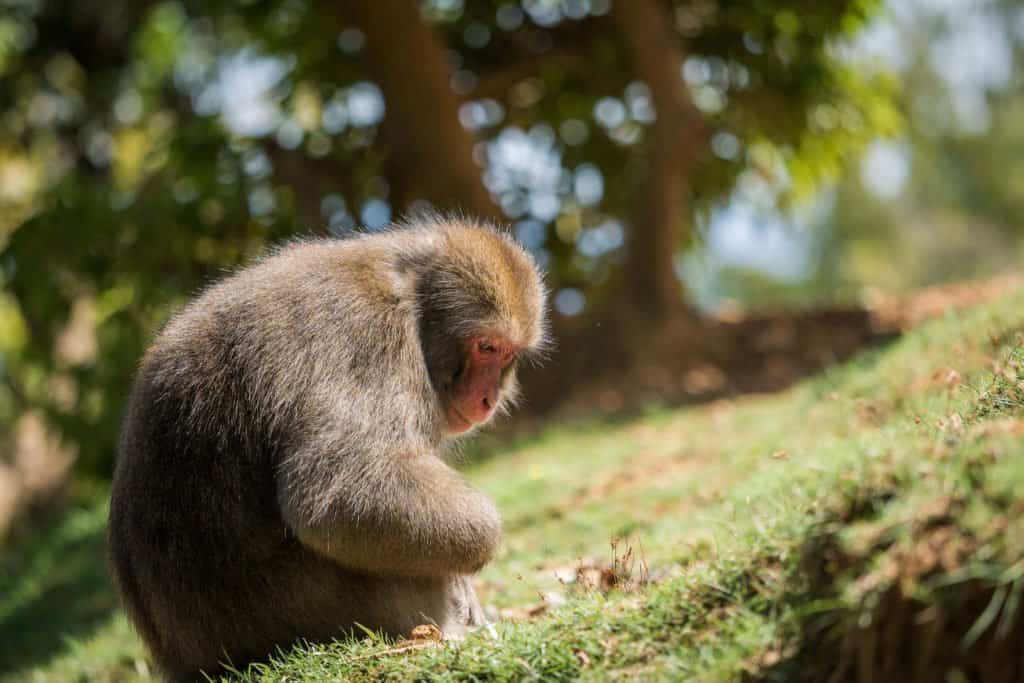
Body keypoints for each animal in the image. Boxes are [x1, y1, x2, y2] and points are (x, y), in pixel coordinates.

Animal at [107, 217, 548, 681]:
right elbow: (331, 497)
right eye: (486, 347)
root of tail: (189, 661)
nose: (488, 398)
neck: (409, 301)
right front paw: (479, 551)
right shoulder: (367, 336)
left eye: (507, 355)